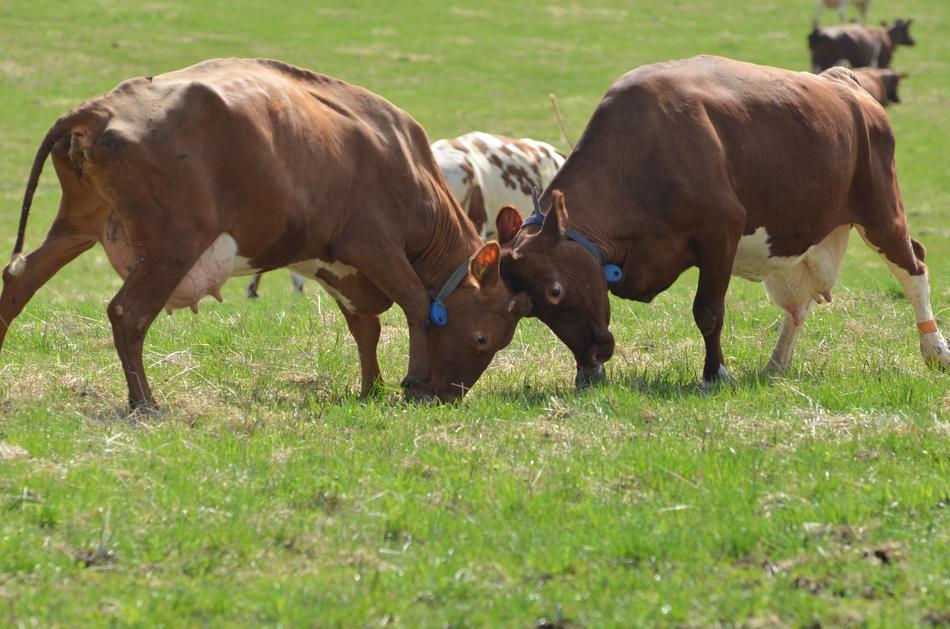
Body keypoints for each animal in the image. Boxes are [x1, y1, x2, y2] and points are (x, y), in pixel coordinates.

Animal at [0, 58, 531, 410]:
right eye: (483, 339)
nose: (448, 398)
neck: (406, 161)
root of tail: (100, 108)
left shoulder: (338, 264)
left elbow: (366, 327)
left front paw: (372, 388)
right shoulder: (374, 245)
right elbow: (419, 308)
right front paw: (412, 383)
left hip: (79, 225)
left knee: (20, 278)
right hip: (172, 245)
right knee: (127, 313)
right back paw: (145, 403)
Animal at [494, 57, 950, 389]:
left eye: (554, 291)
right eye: (530, 310)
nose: (592, 355)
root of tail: (844, 81)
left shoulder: (721, 232)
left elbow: (708, 311)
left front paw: (716, 374)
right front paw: (589, 375)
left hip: (881, 211)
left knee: (914, 268)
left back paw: (935, 350)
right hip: (799, 240)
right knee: (797, 304)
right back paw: (776, 364)